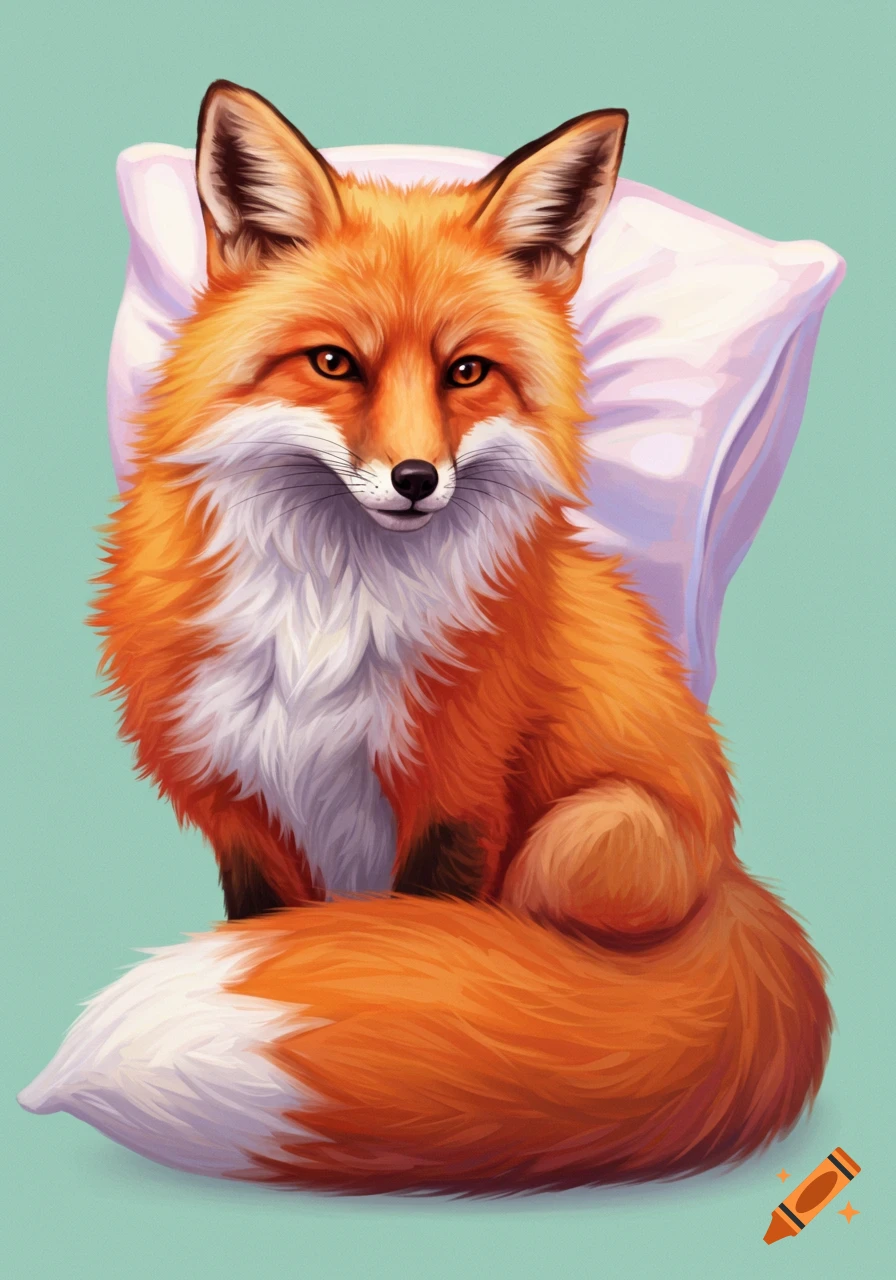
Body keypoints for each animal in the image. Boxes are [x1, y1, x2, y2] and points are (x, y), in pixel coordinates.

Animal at [18, 81, 831, 1194]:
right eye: (333, 363)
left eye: (467, 371)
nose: (416, 480)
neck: (326, 613)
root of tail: (734, 879)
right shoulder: (239, 801)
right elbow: (271, 922)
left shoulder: (457, 796)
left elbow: (438, 955)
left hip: (585, 837)